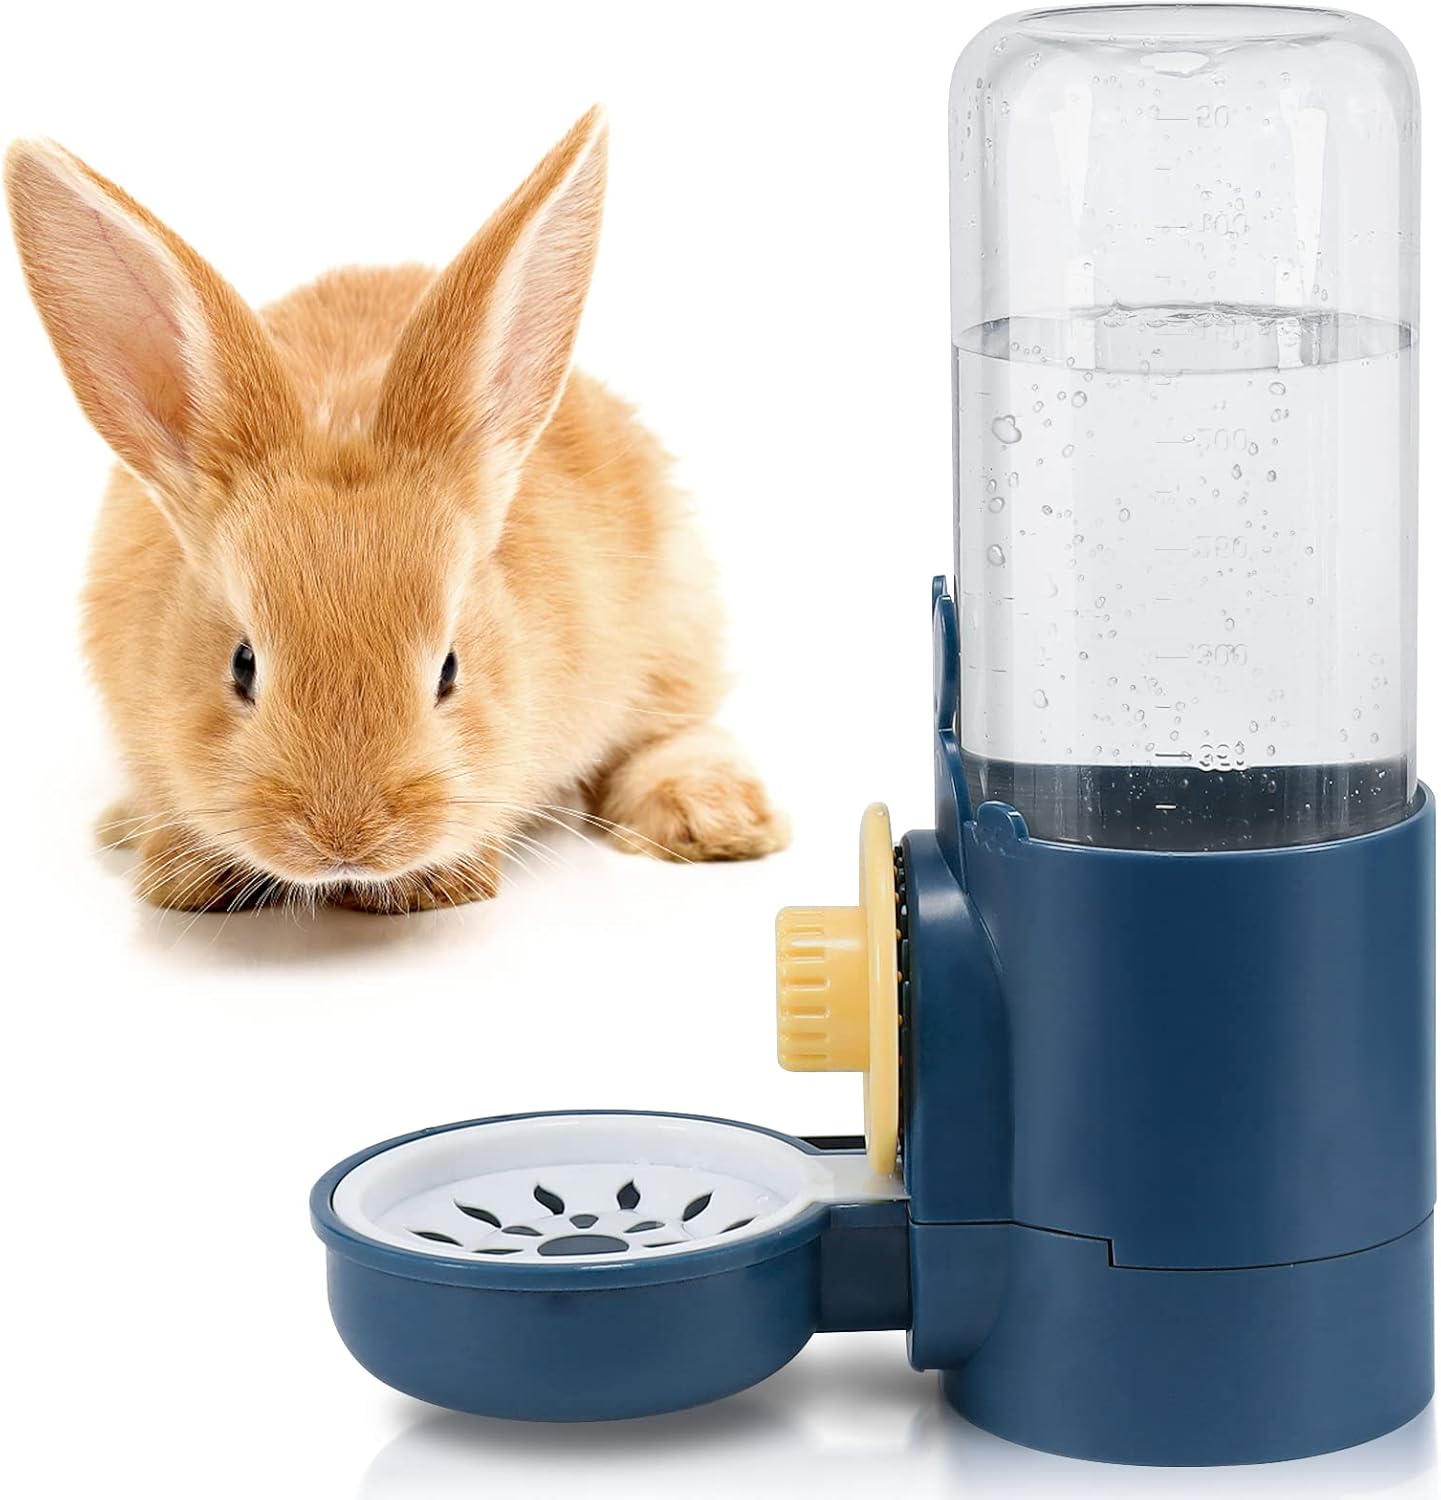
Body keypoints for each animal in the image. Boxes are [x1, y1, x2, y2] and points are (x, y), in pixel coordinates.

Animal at [5, 109, 788, 912]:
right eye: (242, 666)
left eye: (449, 671)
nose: (344, 840)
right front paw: (184, 872)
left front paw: (433, 883)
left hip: (679, 613)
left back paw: (715, 817)